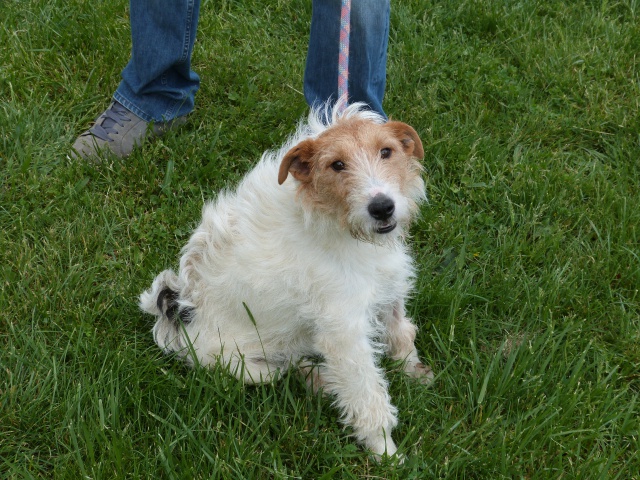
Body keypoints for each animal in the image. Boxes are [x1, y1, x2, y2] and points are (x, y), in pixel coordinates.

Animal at [138, 102, 432, 458]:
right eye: (337, 165)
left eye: (386, 152)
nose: (382, 208)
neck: (336, 223)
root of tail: (176, 317)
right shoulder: (344, 332)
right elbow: (366, 394)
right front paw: (386, 453)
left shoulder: (388, 287)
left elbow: (402, 333)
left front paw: (412, 372)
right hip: (244, 366)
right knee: (287, 370)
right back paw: (321, 382)